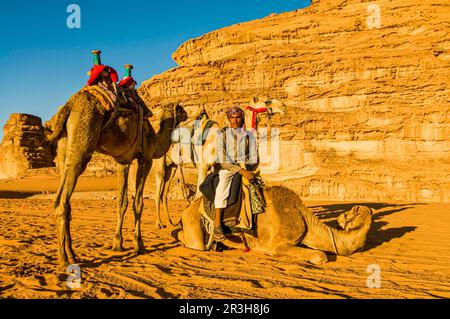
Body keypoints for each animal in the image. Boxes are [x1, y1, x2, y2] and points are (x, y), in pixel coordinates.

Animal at [153, 98, 286, 230]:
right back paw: (159, 223)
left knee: (164, 191)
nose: (283, 106)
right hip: (160, 162)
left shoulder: (216, 167)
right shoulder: (204, 165)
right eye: (267, 101)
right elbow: (198, 195)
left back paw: (171, 223)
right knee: (158, 190)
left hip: (172, 166)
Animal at [174, 185, 374, 264]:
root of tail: (188, 208)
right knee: (191, 241)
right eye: (350, 214)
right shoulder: (278, 245)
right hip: (193, 227)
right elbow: (320, 256)